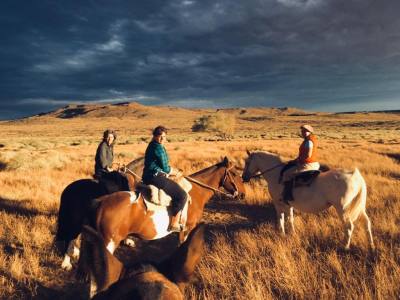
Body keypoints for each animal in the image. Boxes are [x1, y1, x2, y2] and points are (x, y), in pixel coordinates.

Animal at [91, 157, 245, 255]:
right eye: (235, 173)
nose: (243, 194)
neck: (196, 192)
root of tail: (100, 202)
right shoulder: (186, 229)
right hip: (109, 243)